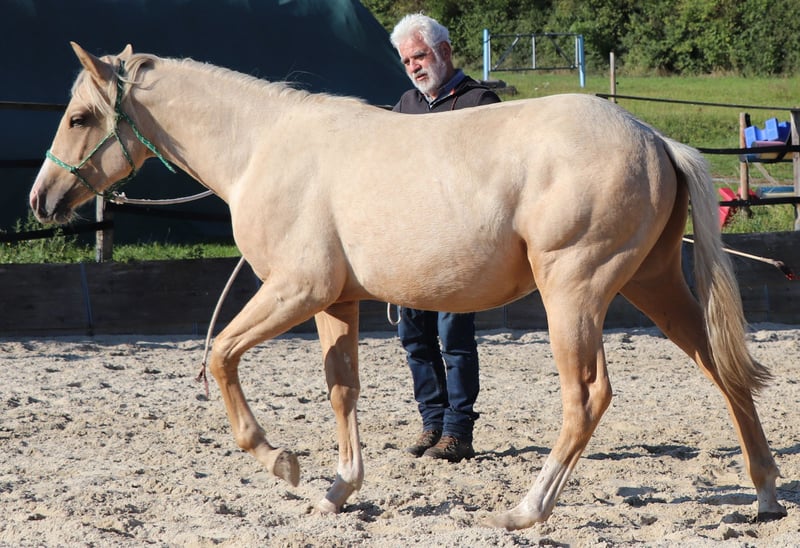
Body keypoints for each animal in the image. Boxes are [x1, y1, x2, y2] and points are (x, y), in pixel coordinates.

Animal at [29, 43, 787, 529]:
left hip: (574, 293)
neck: (262, 148)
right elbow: (341, 390)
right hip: (653, 286)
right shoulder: (334, 301)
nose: (41, 199)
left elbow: (219, 356)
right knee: (722, 371)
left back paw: (527, 510)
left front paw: (283, 464)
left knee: (587, 398)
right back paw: (765, 495)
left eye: (79, 117)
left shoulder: (296, 290)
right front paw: (337, 489)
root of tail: (656, 138)